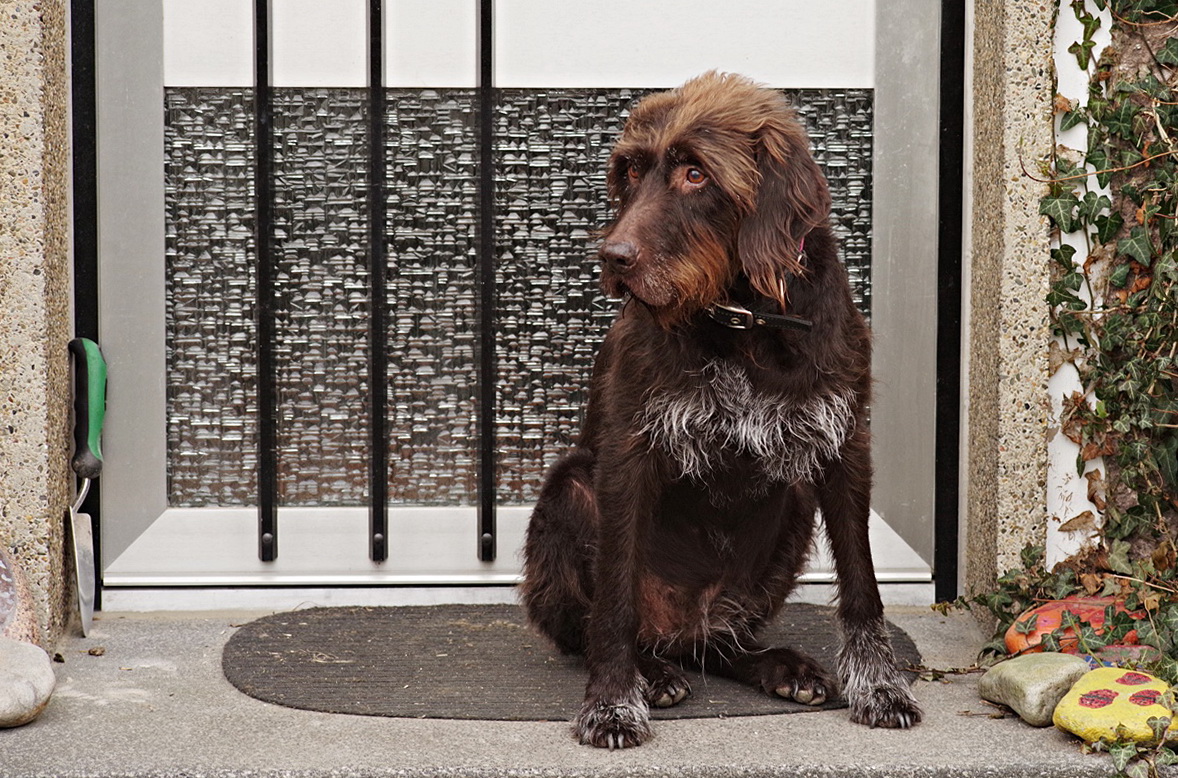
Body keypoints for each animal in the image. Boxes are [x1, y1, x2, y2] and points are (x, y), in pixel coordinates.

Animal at [520, 72, 922, 748]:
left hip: (792, 509)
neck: (742, 317)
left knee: (719, 645)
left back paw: (777, 666)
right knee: (609, 628)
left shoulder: (844, 444)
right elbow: (614, 603)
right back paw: (651, 672)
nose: (613, 256)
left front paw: (881, 685)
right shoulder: (629, 452)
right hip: (571, 489)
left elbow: (863, 584)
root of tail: (682, 624)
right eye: (631, 171)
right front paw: (611, 703)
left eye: (695, 174)